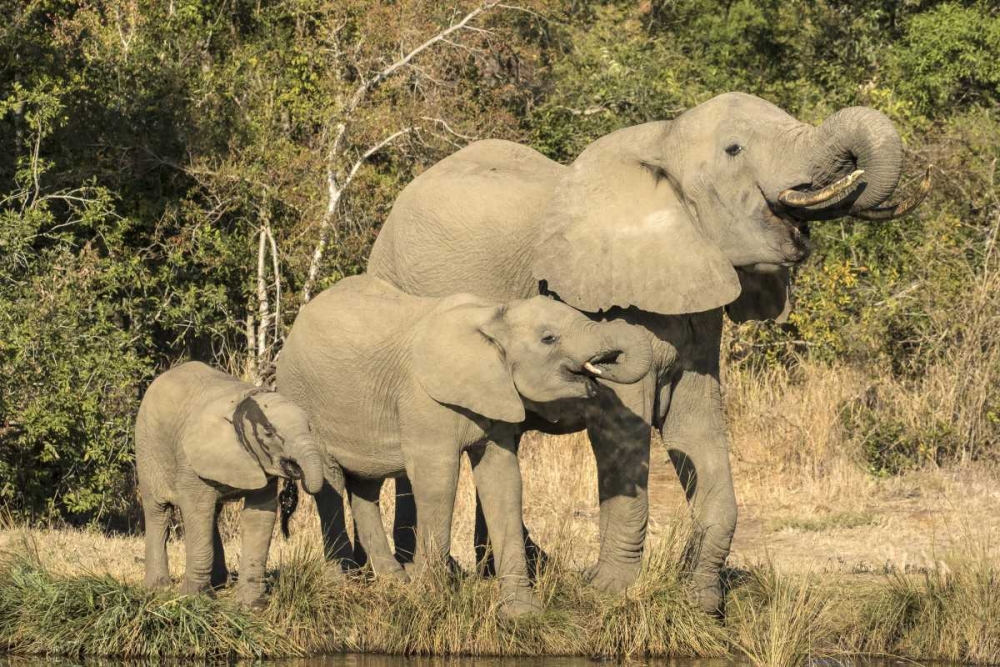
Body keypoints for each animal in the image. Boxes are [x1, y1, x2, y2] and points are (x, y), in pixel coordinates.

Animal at [135, 361, 328, 608]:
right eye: (269, 432)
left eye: (310, 428)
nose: (295, 472)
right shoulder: (192, 459)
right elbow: (197, 509)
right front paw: (197, 599)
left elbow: (259, 516)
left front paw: (252, 605)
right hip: (147, 448)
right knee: (159, 511)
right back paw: (158, 589)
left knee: (212, 514)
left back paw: (219, 584)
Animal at [275, 274, 653, 616]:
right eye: (549, 338)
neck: (493, 316)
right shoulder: (424, 399)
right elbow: (437, 480)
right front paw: (431, 602)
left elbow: (504, 480)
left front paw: (522, 614)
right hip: (302, 398)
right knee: (328, 484)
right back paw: (343, 584)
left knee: (366, 486)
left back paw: (394, 581)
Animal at [365, 91, 930, 614]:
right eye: (734, 149)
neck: (662, 141)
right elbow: (622, 429)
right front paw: (607, 594)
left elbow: (697, 424)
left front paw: (701, 604)